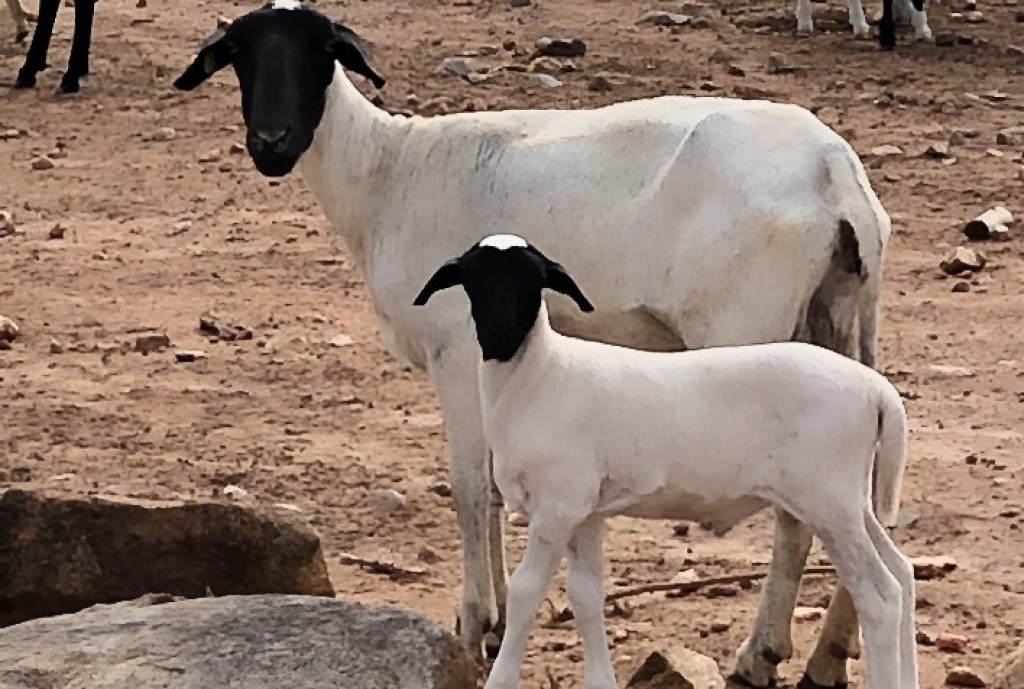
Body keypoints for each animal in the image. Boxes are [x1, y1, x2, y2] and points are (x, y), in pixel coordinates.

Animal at [414, 234, 918, 689]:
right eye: (473, 279)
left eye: (532, 280)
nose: (499, 332)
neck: (540, 374)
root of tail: (877, 391)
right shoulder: (586, 511)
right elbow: (586, 596)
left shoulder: (557, 506)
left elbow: (525, 593)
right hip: (850, 501)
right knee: (902, 573)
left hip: (827, 500)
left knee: (880, 596)